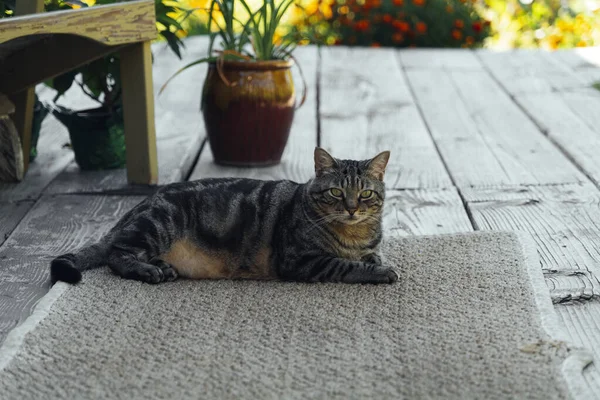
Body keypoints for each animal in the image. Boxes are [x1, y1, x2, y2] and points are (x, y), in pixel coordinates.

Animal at [50, 147, 398, 284]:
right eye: (336, 193)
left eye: (365, 194)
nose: (351, 208)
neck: (354, 235)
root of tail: (137, 207)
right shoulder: (302, 260)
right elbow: (346, 265)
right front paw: (381, 272)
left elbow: (370, 256)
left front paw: (375, 261)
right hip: (159, 223)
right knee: (117, 254)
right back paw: (148, 271)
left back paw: (162, 267)